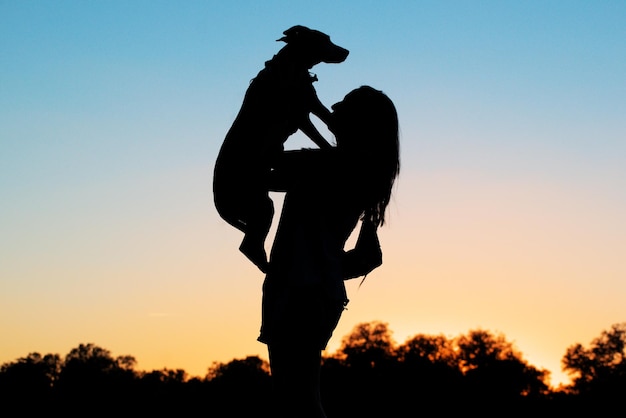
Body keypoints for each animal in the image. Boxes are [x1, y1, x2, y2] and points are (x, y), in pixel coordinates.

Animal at [213, 25, 348, 272]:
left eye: (329, 38)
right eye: (323, 40)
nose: (346, 52)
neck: (291, 66)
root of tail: (218, 200)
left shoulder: (312, 103)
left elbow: (330, 121)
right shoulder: (301, 115)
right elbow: (321, 137)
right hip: (260, 206)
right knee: (248, 247)